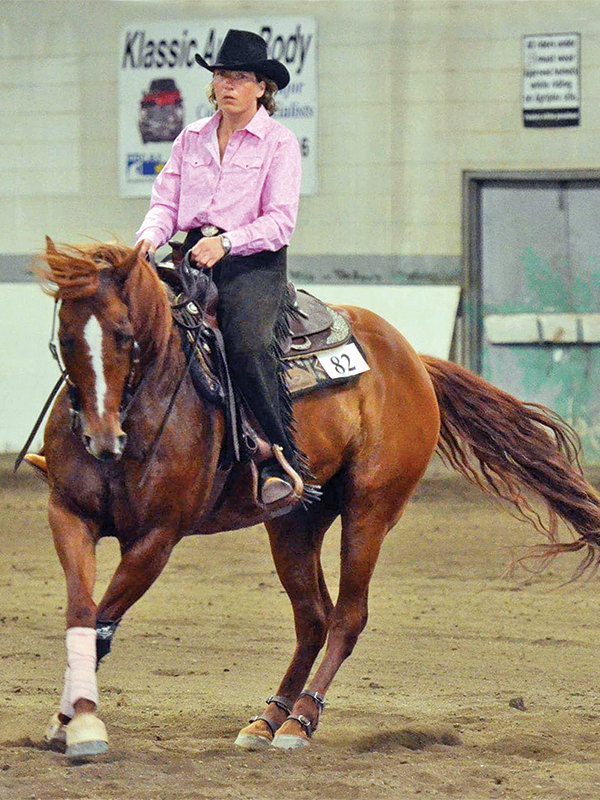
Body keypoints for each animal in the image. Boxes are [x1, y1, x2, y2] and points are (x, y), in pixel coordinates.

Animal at [33, 239, 600, 758]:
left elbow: (101, 622)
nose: (101, 437)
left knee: (347, 617)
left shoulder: (157, 538)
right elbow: (82, 612)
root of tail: (414, 360)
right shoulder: (68, 514)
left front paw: (79, 722)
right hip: (293, 523)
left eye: (124, 335)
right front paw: (68, 720)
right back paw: (266, 719)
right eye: (65, 335)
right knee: (313, 618)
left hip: (370, 511)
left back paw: (299, 721)